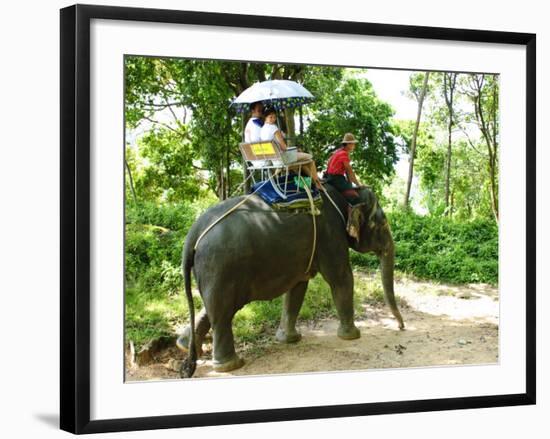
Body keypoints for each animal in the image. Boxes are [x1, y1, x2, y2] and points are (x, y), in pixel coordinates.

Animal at [180, 185, 406, 378]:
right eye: (383, 224)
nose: (401, 327)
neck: (345, 196)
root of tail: (193, 232)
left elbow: (298, 287)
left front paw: (289, 340)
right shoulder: (330, 235)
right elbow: (341, 277)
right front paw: (352, 336)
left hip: (213, 270)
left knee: (213, 308)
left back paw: (185, 346)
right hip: (221, 266)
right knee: (223, 312)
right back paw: (229, 365)